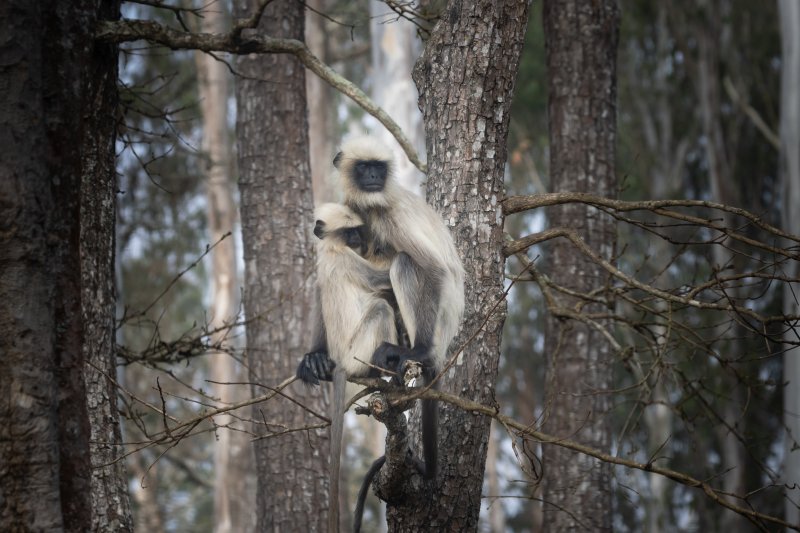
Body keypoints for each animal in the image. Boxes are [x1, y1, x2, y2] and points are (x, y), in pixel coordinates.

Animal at [304, 202, 396, 528]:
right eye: (348, 232)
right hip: (361, 349)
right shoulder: (346, 260)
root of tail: (343, 362)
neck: (331, 250)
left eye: (357, 229)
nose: (358, 239)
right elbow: (384, 279)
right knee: (381, 306)